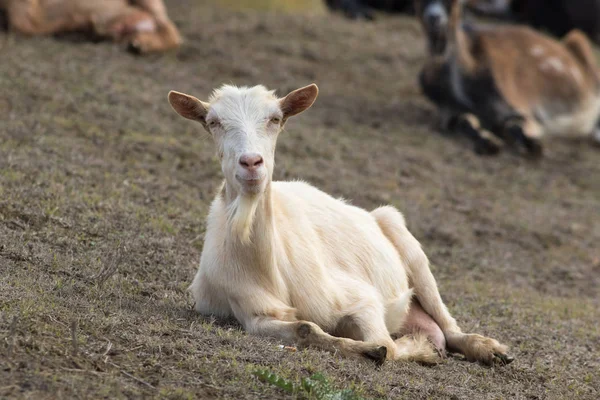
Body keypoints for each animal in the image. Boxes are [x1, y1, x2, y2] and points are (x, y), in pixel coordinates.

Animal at [168, 82, 510, 366]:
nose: (251, 163)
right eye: (213, 122)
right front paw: (368, 350)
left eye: (275, 119)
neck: (264, 263)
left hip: (405, 242)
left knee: (448, 326)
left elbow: (389, 346)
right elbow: (306, 328)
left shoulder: (360, 299)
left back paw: (490, 350)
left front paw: (418, 348)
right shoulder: (253, 312)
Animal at [414, 0, 600, 156]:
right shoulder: (450, 113)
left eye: (452, 2)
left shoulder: (519, 105)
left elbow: (519, 124)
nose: (434, 18)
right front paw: (489, 142)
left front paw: (530, 143)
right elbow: (464, 122)